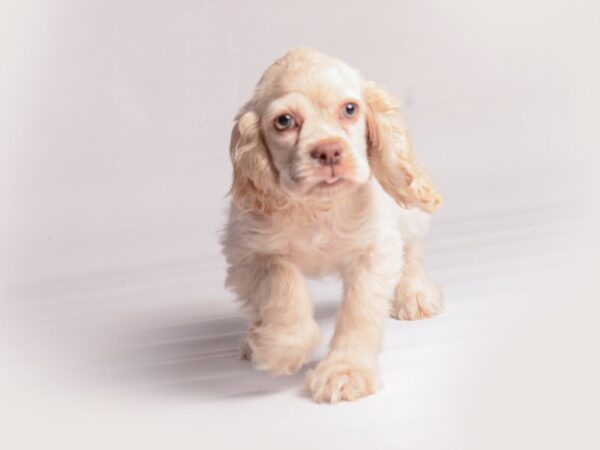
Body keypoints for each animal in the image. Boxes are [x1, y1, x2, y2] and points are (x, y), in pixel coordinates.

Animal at [220, 47, 440, 402]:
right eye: (284, 121)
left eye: (350, 109)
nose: (329, 151)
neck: (320, 208)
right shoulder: (250, 251)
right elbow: (282, 288)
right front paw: (280, 348)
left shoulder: (373, 250)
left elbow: (359, 312)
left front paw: (346, 372)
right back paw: (253, 338)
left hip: (410, 217)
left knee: (412, 252)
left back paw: (415, 294)